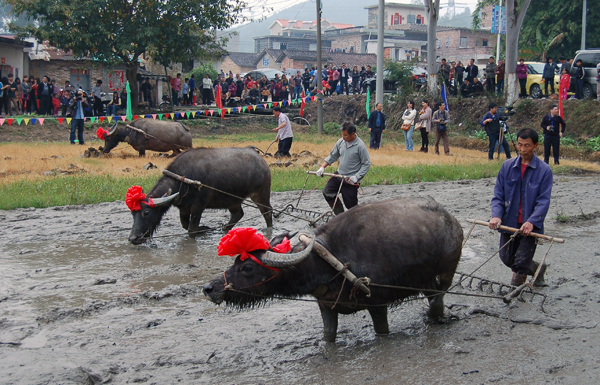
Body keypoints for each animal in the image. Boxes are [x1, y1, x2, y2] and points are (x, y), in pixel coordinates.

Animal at [130, 147, 276, 243]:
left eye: (146, 213)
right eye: (133, 213)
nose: (133, 238)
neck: (182, 181)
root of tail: (261, 161)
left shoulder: (198, 207)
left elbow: (191, 229)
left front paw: (201, 230)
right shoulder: (183, 208)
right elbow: (185, 225)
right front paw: (205, 229)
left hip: (261, 194)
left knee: (267, 212)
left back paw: (269, 229)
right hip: (232, 200)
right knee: (238, 214)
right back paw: (225, 229)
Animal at [204, 196, 462, 340]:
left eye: (248, 267)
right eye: (235, 262)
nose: (209, 288)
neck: (330, 262)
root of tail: (452, 220)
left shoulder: (378, 304)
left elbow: (382, 331)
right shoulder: (325, 306)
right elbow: (328, 335)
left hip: (446, 272)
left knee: (440, 294)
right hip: (425, 278)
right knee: (432, 295)